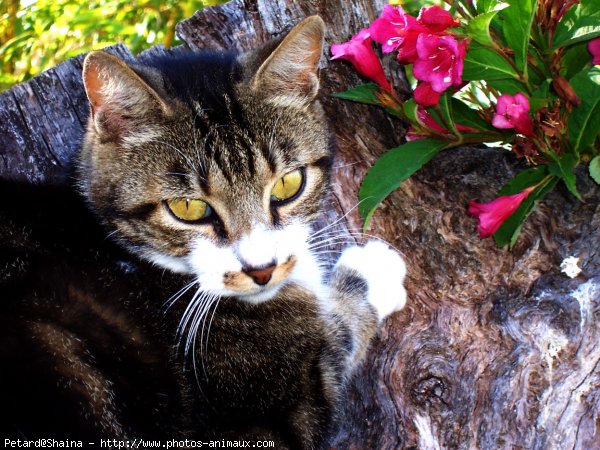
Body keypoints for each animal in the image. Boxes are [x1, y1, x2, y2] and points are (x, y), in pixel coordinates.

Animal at [0, 15, 408, 448]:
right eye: (188, 208)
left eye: (288, 184)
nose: (262, 269)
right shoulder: (267, 422)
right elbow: (336, 340)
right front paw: (373, 269)